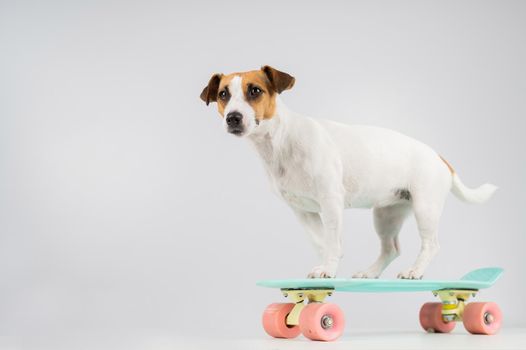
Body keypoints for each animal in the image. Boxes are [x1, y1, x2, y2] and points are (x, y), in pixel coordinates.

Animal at [200, 65, 498, 278]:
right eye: (224, 95)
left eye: (255, 91)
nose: (233, 118)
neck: (280, 141)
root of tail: (439, 157)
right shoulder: (303, 211)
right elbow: (322, 241)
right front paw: (327, 266)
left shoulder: (331, 203)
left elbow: (332, 240)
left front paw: (329, 268)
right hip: (386, 215)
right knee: (391, 249)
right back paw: (370, 273)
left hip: (426, 208)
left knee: (431, 245)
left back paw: (415, 271)